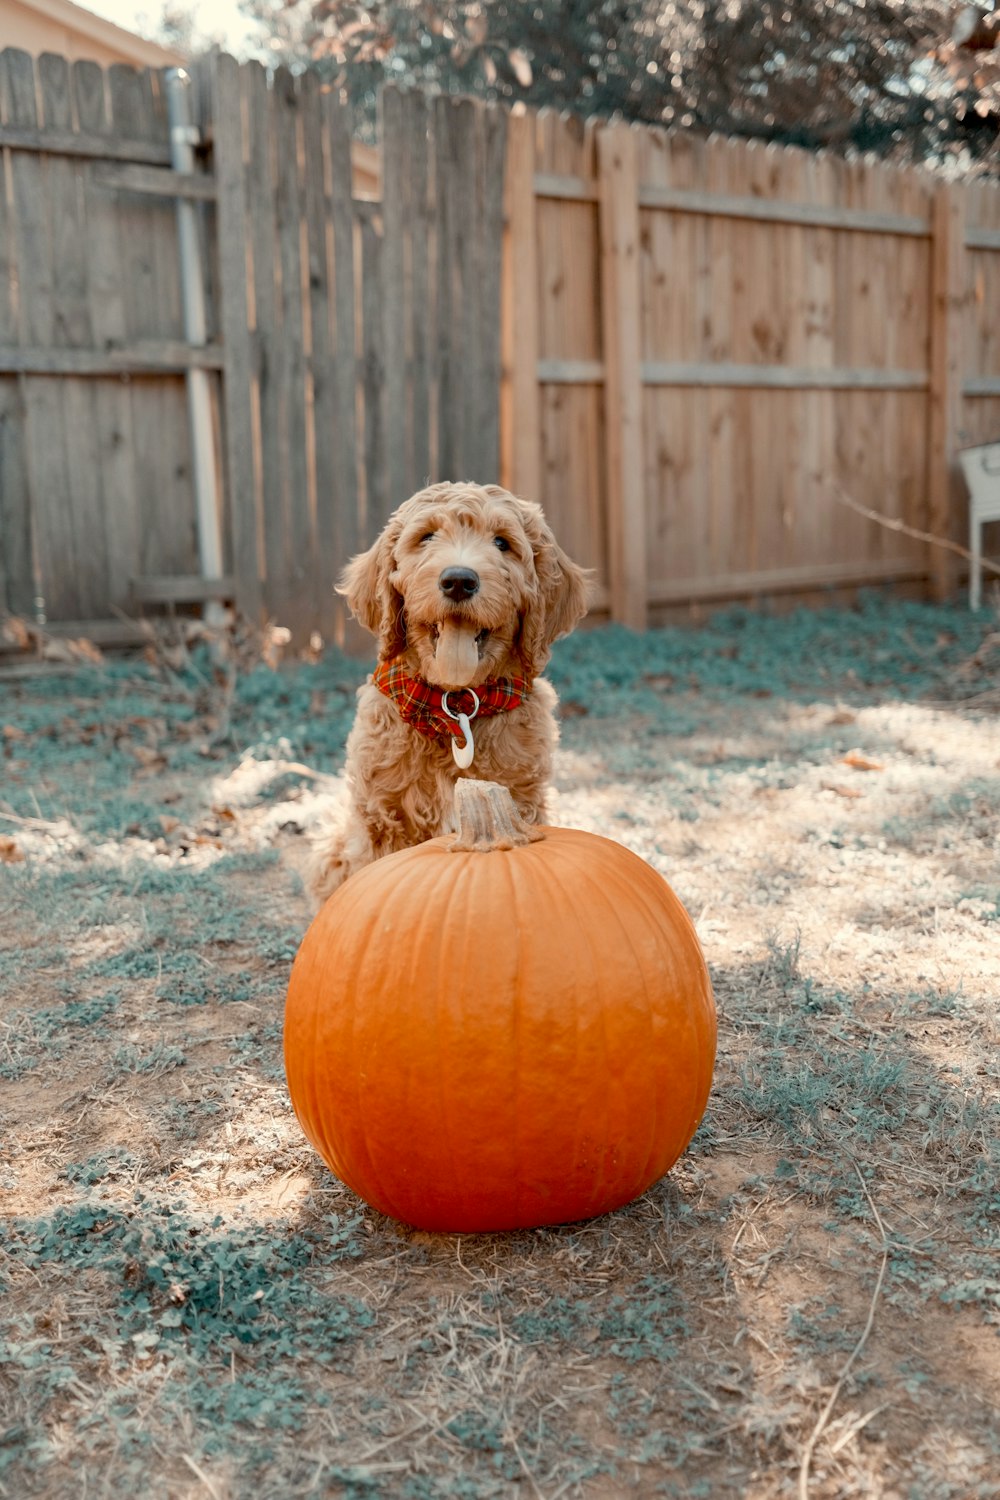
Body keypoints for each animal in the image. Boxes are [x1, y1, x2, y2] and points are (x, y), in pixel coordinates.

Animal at [308, 480, 590, 900]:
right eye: (426, 537)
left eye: (502, 543)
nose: (459, 580)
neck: (452, 705)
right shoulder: (380, 815)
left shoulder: (523, 797)